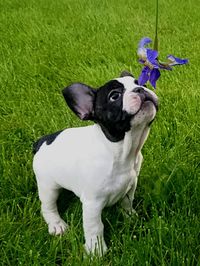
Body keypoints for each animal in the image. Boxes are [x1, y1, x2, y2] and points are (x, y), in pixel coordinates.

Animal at [32, 70, 158, 256]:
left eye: (142, 83)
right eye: (114, 96)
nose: (140, 89)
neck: (120, 150)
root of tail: (41, 142)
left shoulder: (131, 184)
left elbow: (127, 202)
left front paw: (130, 217)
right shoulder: (93, 203)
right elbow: (95, 227)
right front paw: (96, 251)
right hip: (48, 185)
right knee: (48, 206)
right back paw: (57, 224)